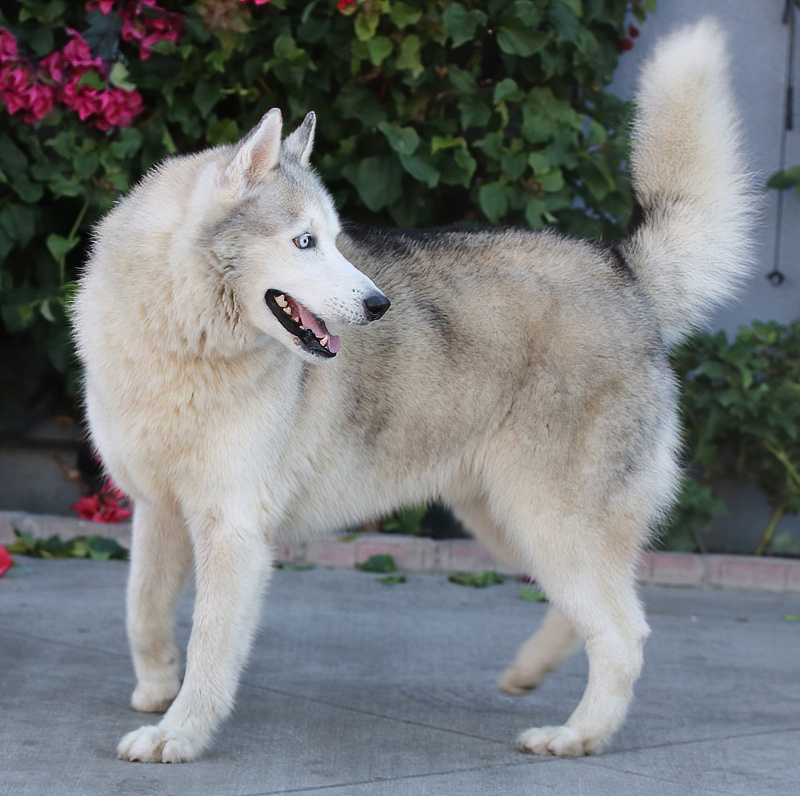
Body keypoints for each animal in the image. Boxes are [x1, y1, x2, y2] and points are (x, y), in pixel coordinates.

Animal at [74, 19, 755, 762]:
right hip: (512, 523)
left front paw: (179, 734)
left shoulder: (233, 531)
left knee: (624, 634)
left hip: (550, 521)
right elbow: (142, 610)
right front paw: (156, 689)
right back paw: (532, 673)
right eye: (305, 241)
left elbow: (208, 647)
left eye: (336, 240)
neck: (183, 340)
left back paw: (577, 734)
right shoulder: (158, 511)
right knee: (592, 612)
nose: (379, 305)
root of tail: (622, 272)